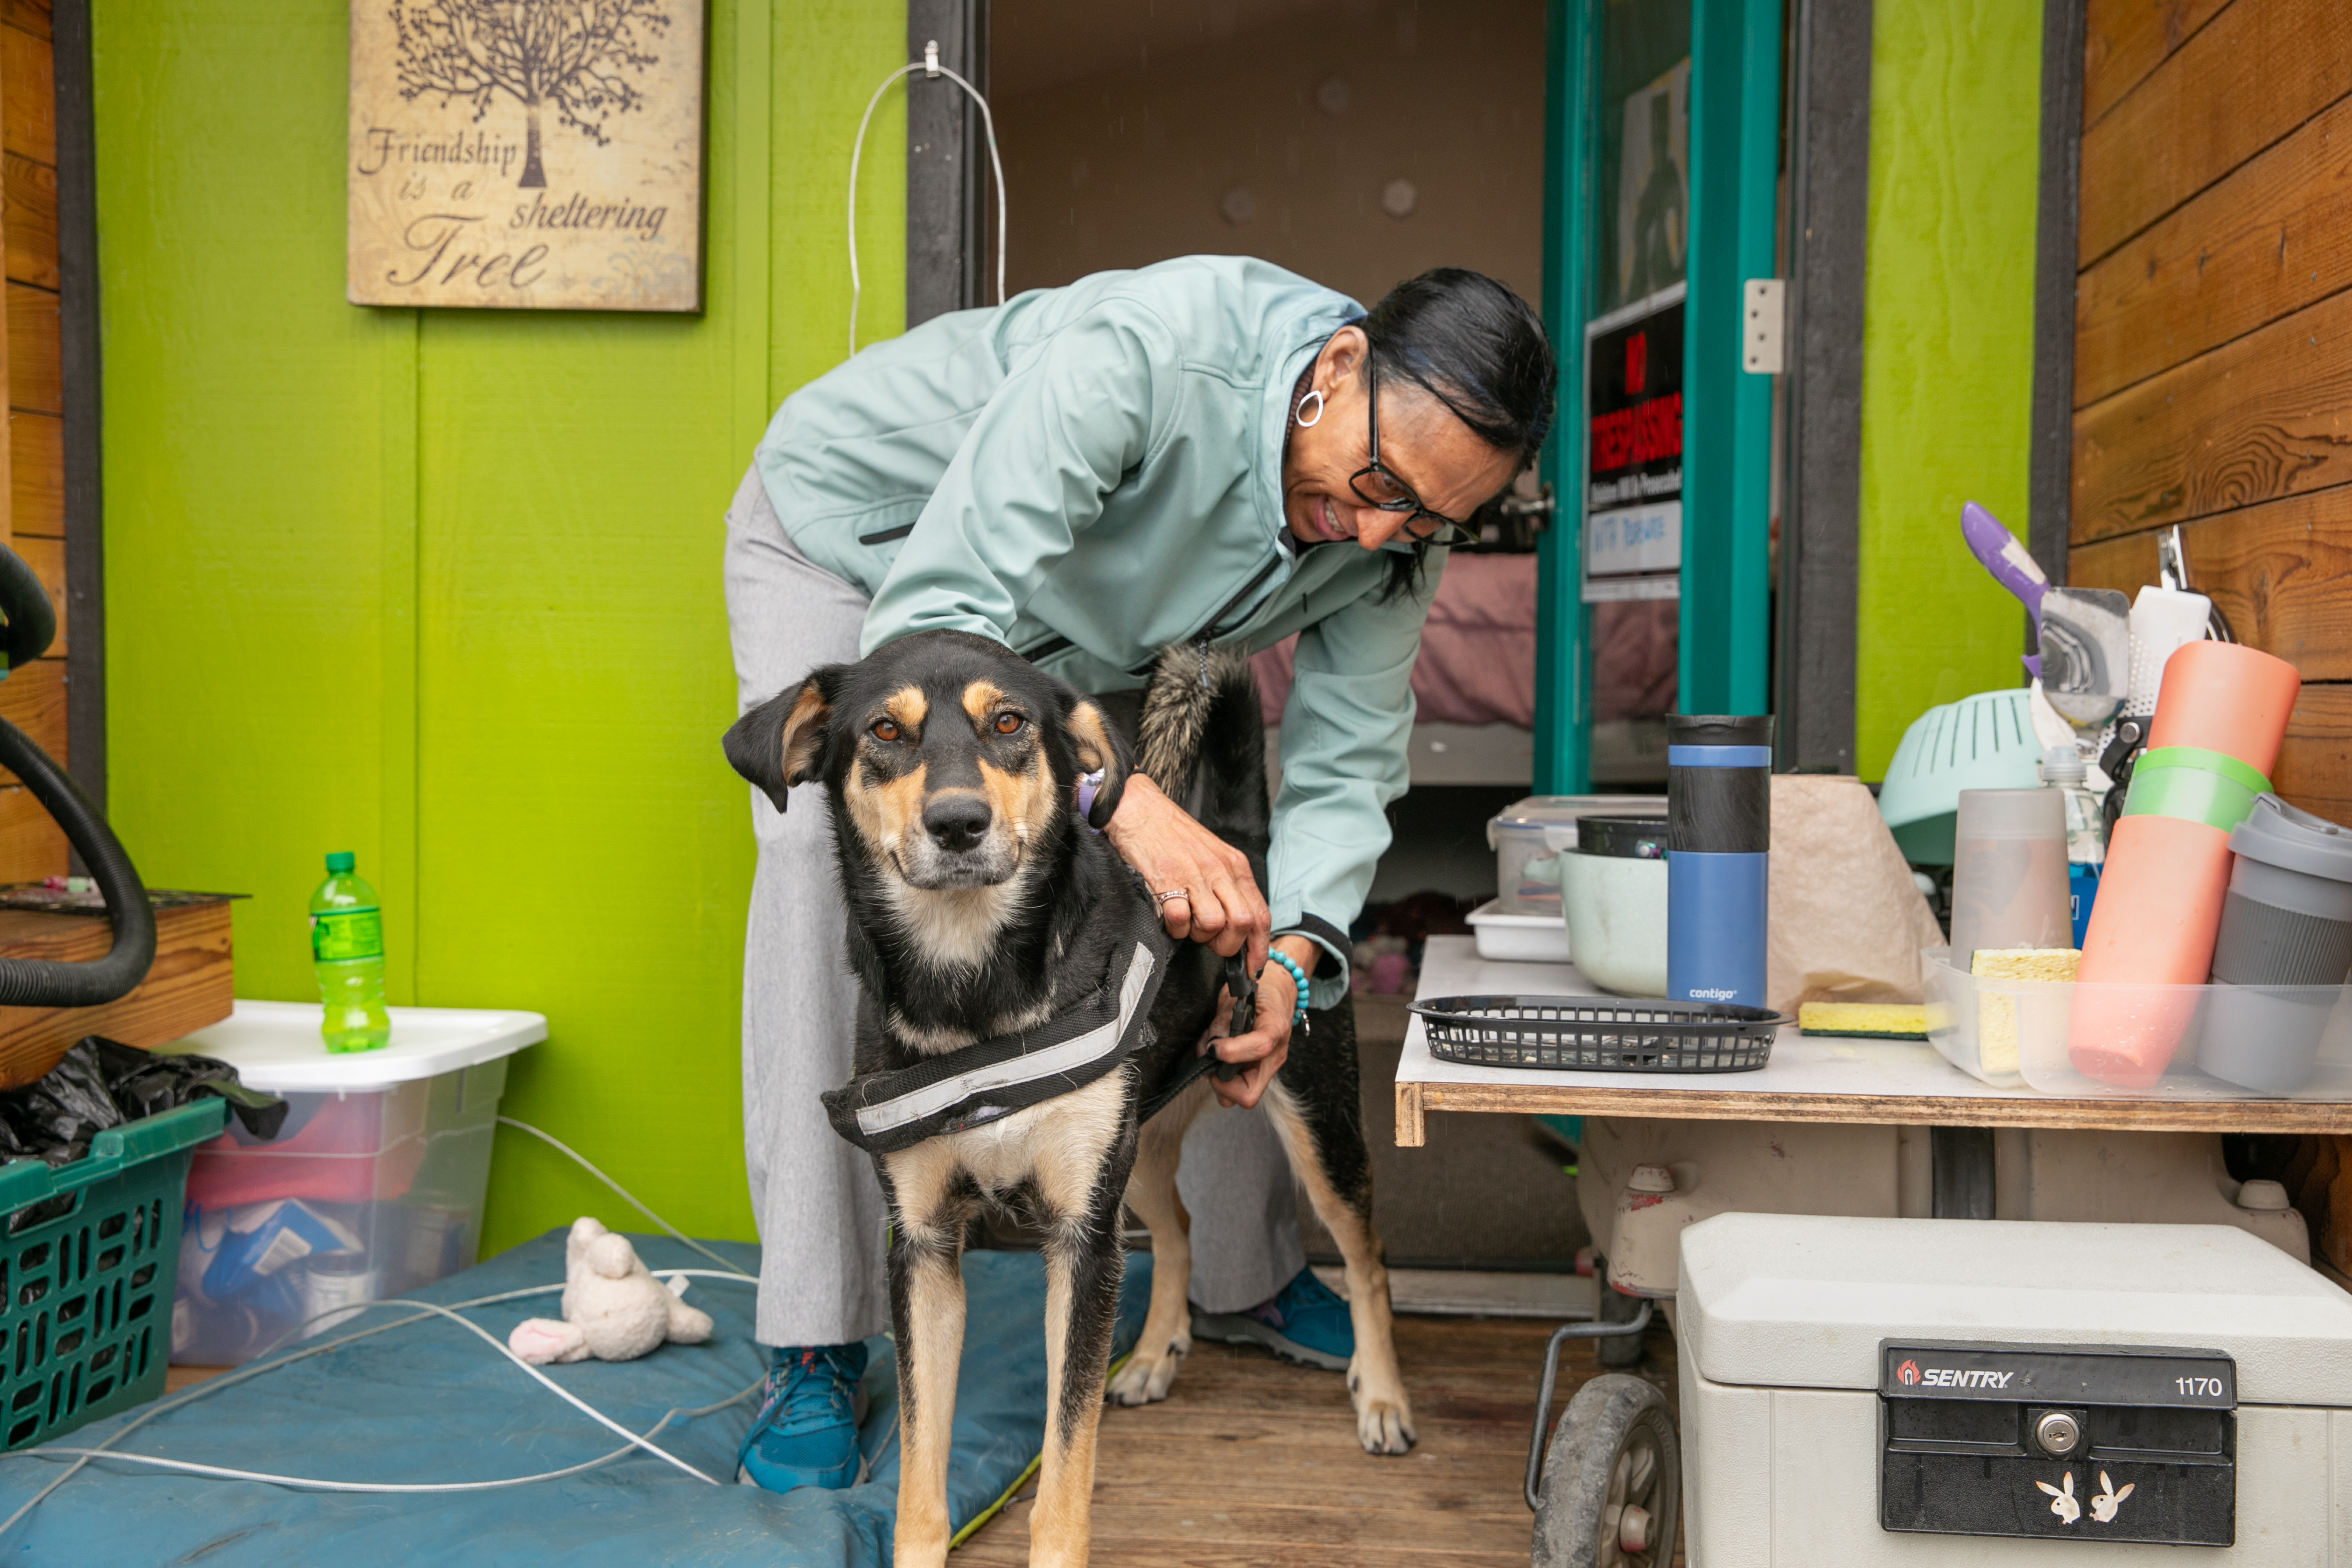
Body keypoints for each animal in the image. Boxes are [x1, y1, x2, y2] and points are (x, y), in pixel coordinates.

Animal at [724, 630, 1401, 1568]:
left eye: (1009, 722)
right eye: (885, 732)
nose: (958, 823)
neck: (972, 987)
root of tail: (1241, 836)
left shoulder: (1078, 1244)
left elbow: (1065, 1472)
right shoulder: (927, 1248)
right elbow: (920, 1482)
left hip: (1311, 1121)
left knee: (1366, 1257)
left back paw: (1382, 1399)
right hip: (1134, 1151)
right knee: (1180, 1228)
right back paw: (1152, 1354)